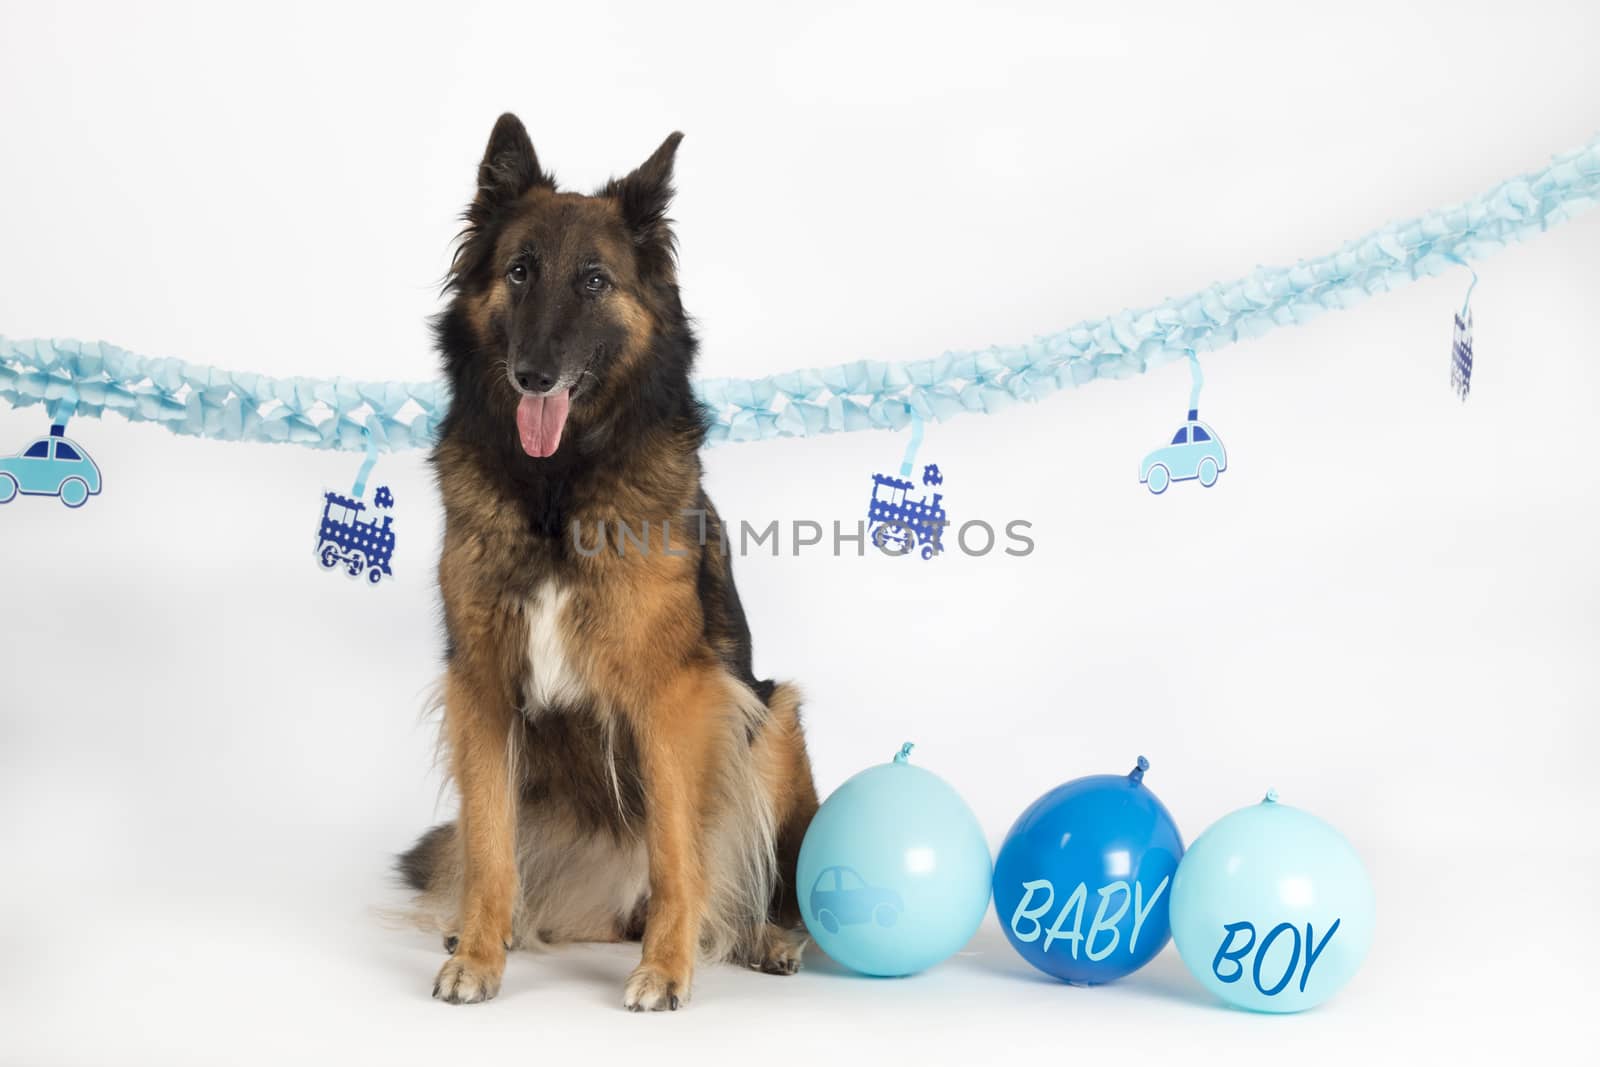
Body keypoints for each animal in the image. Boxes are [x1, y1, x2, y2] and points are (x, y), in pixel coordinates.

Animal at [398, 112, 819, 1017]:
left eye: (594, 281)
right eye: (519, 271)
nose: (533, 374)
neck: (558, 487)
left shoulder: (677, 694)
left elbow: (676, 849)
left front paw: (667, 968)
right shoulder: (481, 684)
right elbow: (489, 847)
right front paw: (478, 953)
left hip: (771, 717)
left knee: (741, 873)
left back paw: (759, 936)